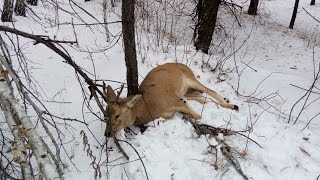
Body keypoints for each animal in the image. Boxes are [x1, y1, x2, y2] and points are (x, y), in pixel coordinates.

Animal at [104, 62, 239, 137]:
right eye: (106, 115)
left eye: (117, 115)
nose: (107, 134)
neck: (147, 106)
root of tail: (184, 65)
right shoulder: (170, 109)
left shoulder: (174, 100)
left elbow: (198, 116)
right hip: (185, 91)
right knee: (201, 97)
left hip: (190, 79)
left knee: (210, 91)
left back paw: (232, 105)